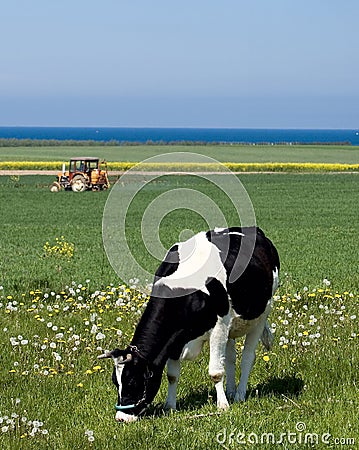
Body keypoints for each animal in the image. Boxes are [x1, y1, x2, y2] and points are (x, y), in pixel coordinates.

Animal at [99, 229, 282, 422]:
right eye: (115, 381)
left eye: (133, 381)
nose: (121, 417)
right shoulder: (175, 338)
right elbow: (172, 375)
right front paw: (170, 407)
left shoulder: (218, 327)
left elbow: (215, 372)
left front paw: (222, 406)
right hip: (231, 326)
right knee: (231, 358)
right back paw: (231, 392)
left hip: (261, 316)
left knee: (247, 358)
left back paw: (239, 395)